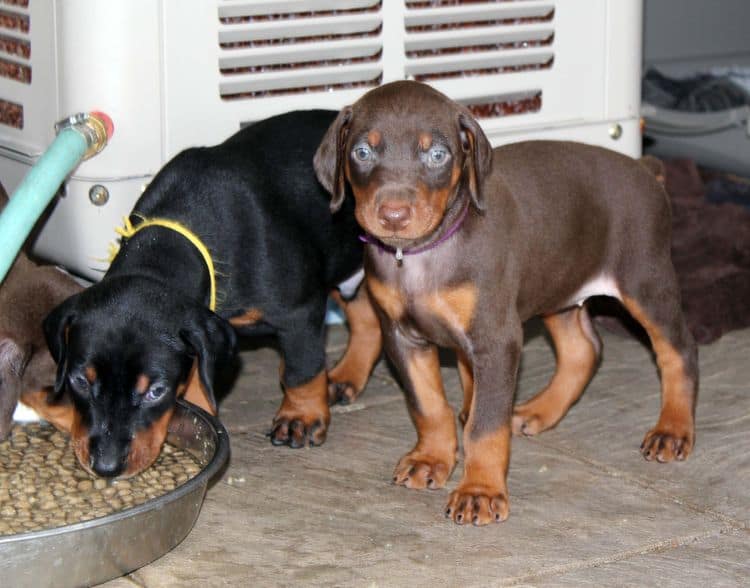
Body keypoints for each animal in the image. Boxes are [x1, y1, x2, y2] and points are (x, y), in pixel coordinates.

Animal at [41, 110, 382, 478]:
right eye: (79, 380)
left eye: (156, 392)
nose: (106, 466)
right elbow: (198, 376)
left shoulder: (298, 313)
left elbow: (301, 369)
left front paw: (301, 417)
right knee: (368, 319)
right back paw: (346, 376)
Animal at [314, 80, 704, 524]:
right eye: (362, 152)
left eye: (437, 155)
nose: (394, 216)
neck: (423, 254)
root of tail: (646, 170)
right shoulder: (403, 338)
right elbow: (428, 405)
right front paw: (431, 459)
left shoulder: (496, 339)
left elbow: (484, 425)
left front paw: (479, 491)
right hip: (559, 285)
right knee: (584, 349)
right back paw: (538, 411)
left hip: (645, 280)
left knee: (678, 349)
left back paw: (673, 429)